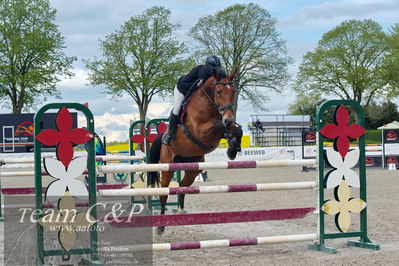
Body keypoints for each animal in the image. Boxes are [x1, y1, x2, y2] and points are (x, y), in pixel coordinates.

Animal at [150, 69, 244, 234]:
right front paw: (230, 140)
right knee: (164, 193)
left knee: (182, 186)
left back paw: (181, 211)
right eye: (219, 91)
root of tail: (161, 136)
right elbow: (219, 125)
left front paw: (233, 149)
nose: (229, 119)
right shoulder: (201, 131)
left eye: (234, 91)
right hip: (167, 166)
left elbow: (237, 130)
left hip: (194, 167)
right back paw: (160, 227)